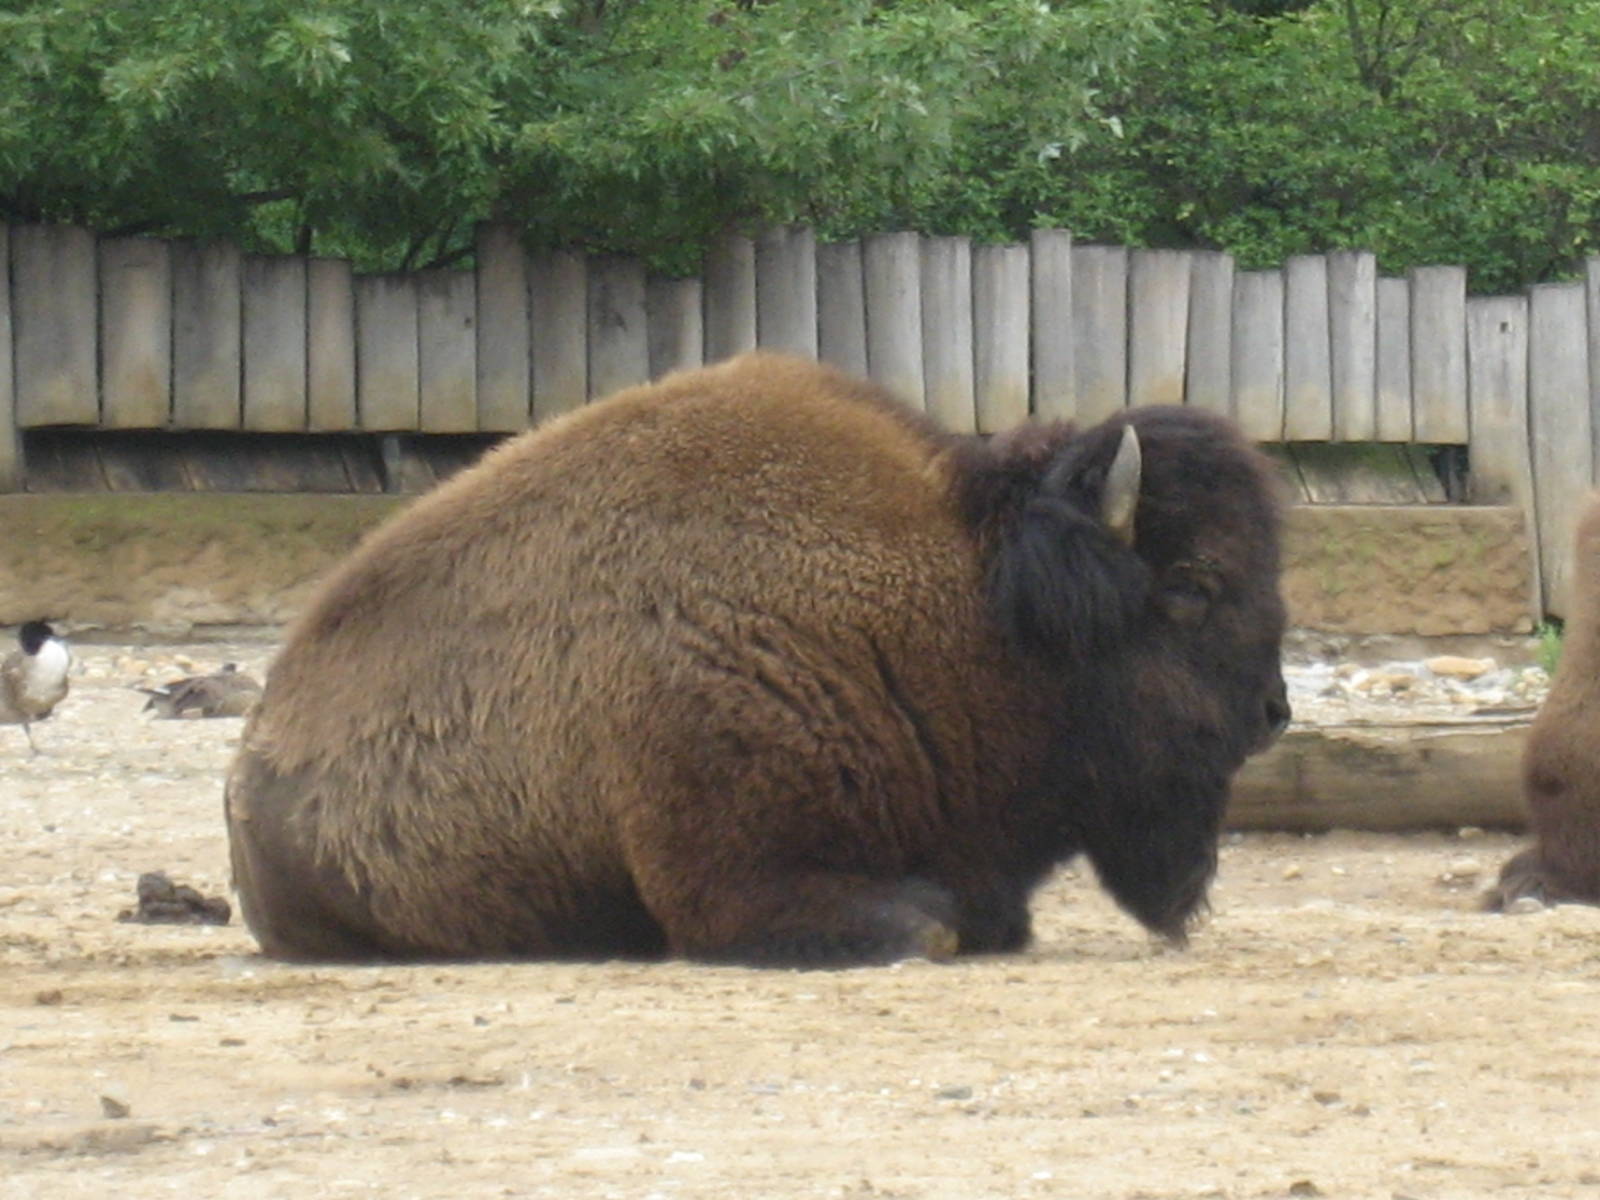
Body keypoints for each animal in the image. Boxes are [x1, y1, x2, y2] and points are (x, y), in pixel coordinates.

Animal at [226, 352, 1290, 966]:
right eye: (1192, 586)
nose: (1274, 713)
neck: (971, 603)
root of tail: (255, 755)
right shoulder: (728, 880)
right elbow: (927, 922)